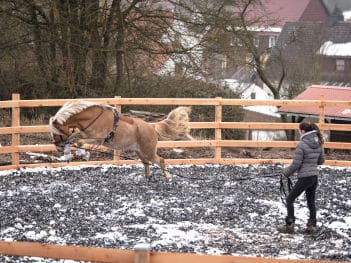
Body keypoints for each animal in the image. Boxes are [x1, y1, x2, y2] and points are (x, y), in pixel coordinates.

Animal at [48, 102, 192, 180]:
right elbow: (75, 137)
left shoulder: (98, 139)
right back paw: (147, 177)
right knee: (146, 163)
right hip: (140, 152)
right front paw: (70, 152)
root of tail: (152, 127)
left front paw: (81, 153)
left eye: (57, 130)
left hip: (149, 152)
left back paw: (168, 177)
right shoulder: (84, 133)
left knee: (161, 160)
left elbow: (80, 142)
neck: (93, 117)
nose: (57, 147)